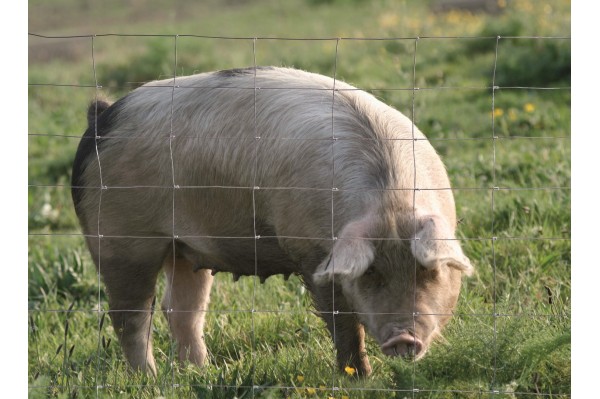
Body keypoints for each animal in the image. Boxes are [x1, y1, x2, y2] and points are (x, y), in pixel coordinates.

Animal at [71, 66, 474, 378]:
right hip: (120, 241)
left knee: (181, 310)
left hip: (182, 248)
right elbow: (344, 323)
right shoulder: (312, 254)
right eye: (370, 272)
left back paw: (201, 373)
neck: (389, 202)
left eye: (428, 271)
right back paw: (150, 380)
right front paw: (359, 379)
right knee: (130, 316)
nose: (403, 338)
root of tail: (102, 117)